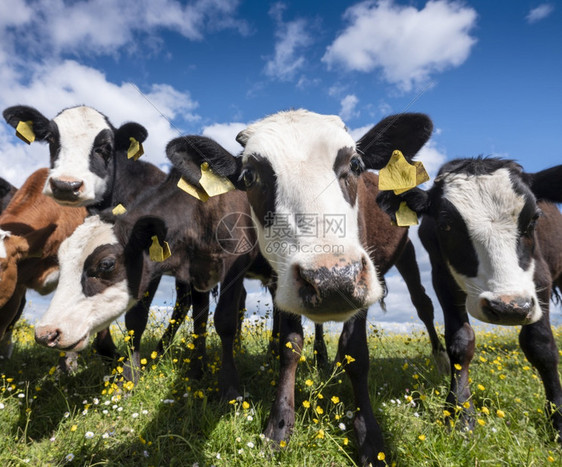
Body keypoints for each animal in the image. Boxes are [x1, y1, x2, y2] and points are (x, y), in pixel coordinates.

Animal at [142, 111, 436, 466]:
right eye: (249, 176)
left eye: (354, 163)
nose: (332, 279)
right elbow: (289, 344)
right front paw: (280, 425)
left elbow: (356, 352)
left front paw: (370, 435)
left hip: (405, 254)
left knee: (423, 304)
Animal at [374, 156, 562, 442]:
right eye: (446, 225)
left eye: (533, 220)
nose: (507, 308)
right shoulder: (442, 278)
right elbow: (460, 341)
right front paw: (460, 413)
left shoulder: (540, 278)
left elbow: (541, 345)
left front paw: (558, 416)